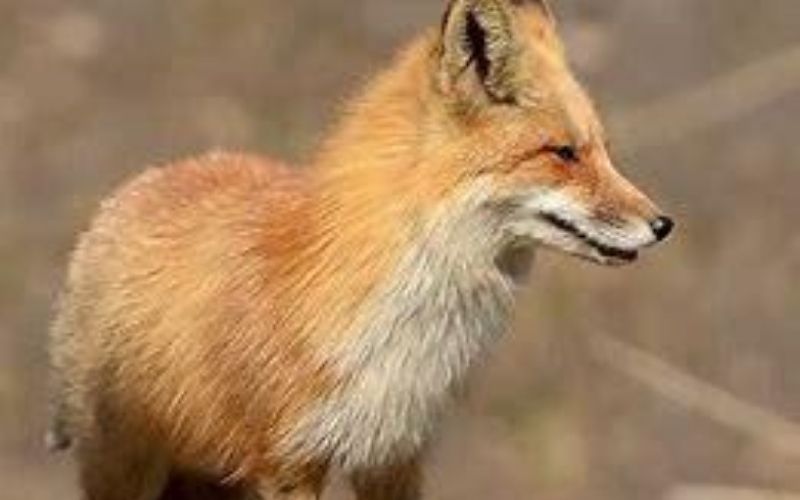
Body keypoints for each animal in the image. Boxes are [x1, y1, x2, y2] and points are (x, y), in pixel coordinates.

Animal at [48, 1, 673, 499]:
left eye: (603, 151)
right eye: (563, 153)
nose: (662, 224)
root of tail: (133, 188)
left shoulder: (395, 452)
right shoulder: (289, 463)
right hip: (127, 467)